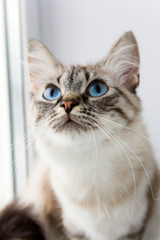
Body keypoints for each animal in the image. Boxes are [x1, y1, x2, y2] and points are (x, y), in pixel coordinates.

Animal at [0, 31, 160, 240]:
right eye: (52, 93)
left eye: (97, 89)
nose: (67, 104)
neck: (90, 165)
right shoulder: (71, 229)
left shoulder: (135, 229)